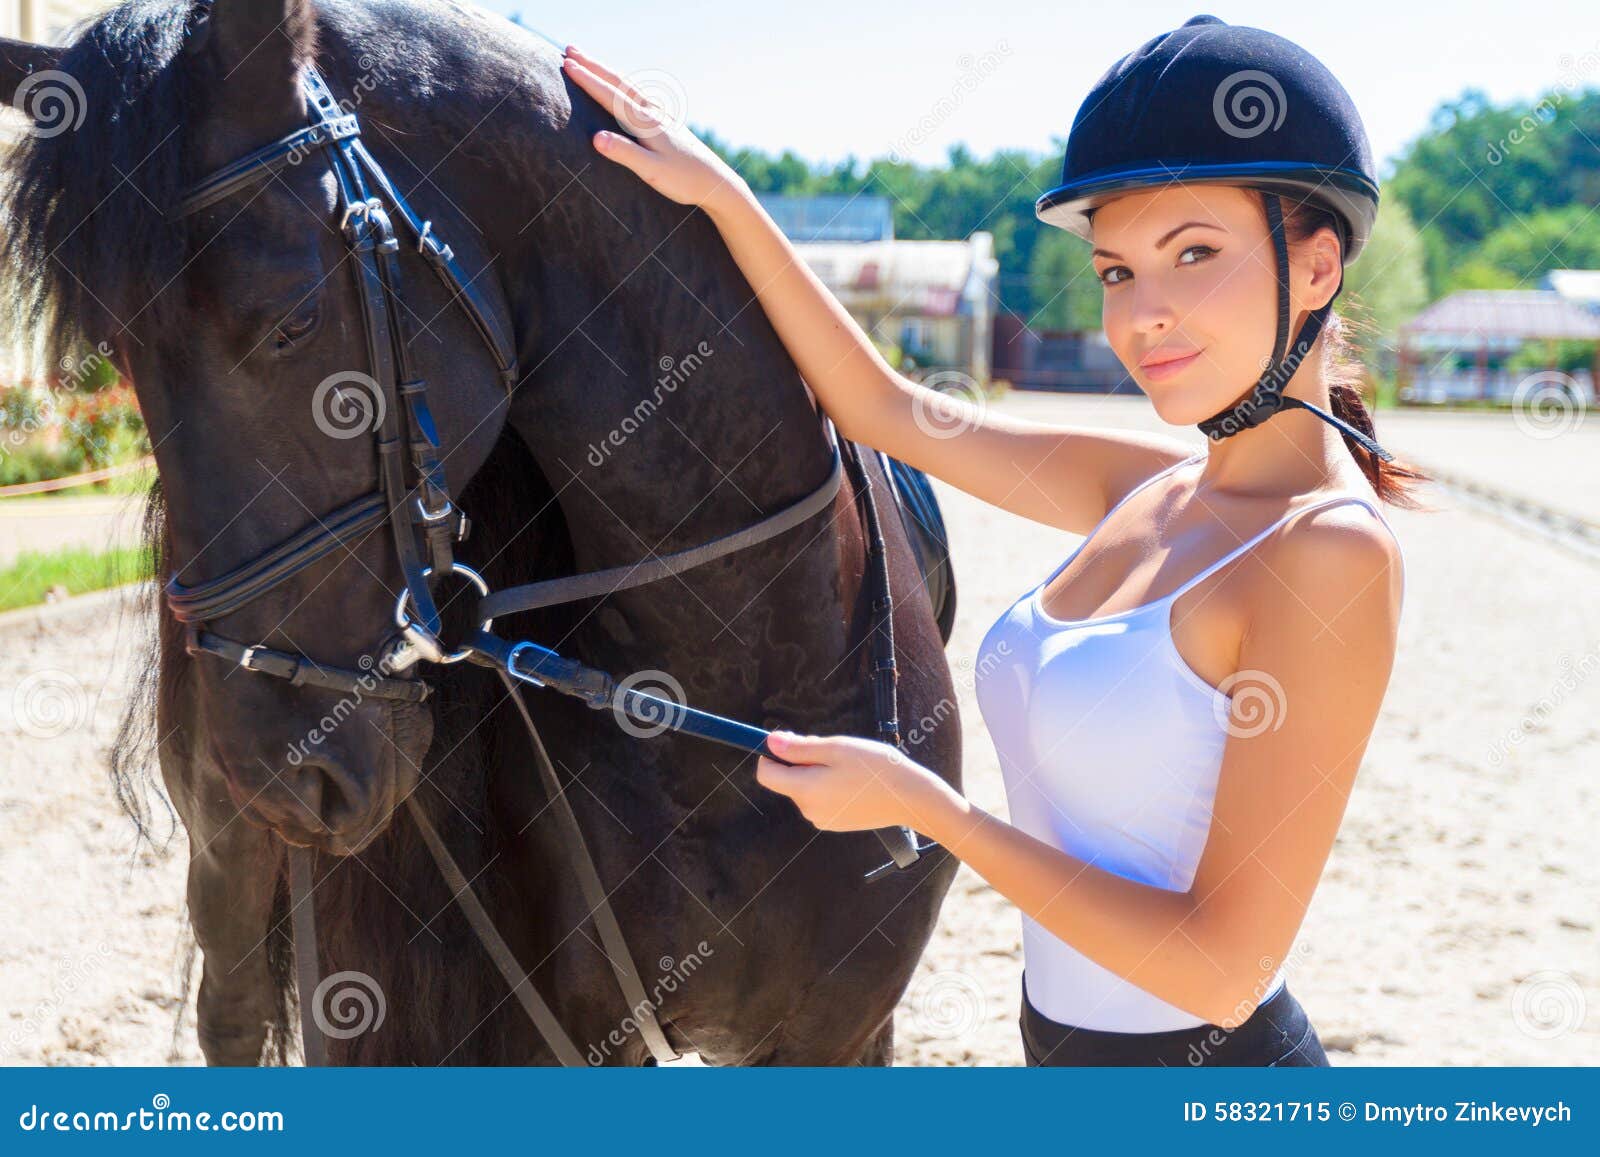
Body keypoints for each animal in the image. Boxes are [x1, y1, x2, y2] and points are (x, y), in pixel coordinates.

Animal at [0, 0, 962, 1065]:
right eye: (121, 358)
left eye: (292, 322)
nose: (279, 764)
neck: (740, 671)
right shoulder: (577, 1019)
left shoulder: (846, 1028)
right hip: (237, 853)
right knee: (237, 1012)